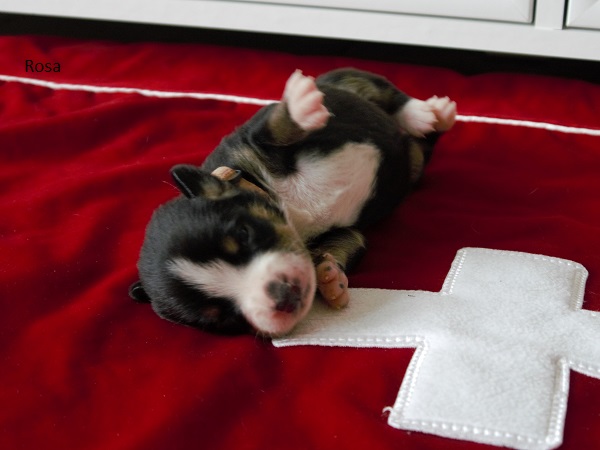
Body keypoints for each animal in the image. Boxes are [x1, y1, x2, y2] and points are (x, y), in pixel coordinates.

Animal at [129, 68, 456, 336]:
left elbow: (274, 128)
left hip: (346, 81)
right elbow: (346, 243)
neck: (291, 214)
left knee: (384, 92)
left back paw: (430, 114)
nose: (283, 295)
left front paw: (298, 106)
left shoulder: (250, 140)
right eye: (222, 319)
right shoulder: (346, 231)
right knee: (421, 150)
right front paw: (330, 278)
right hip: (412, 164)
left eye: (244, 233)